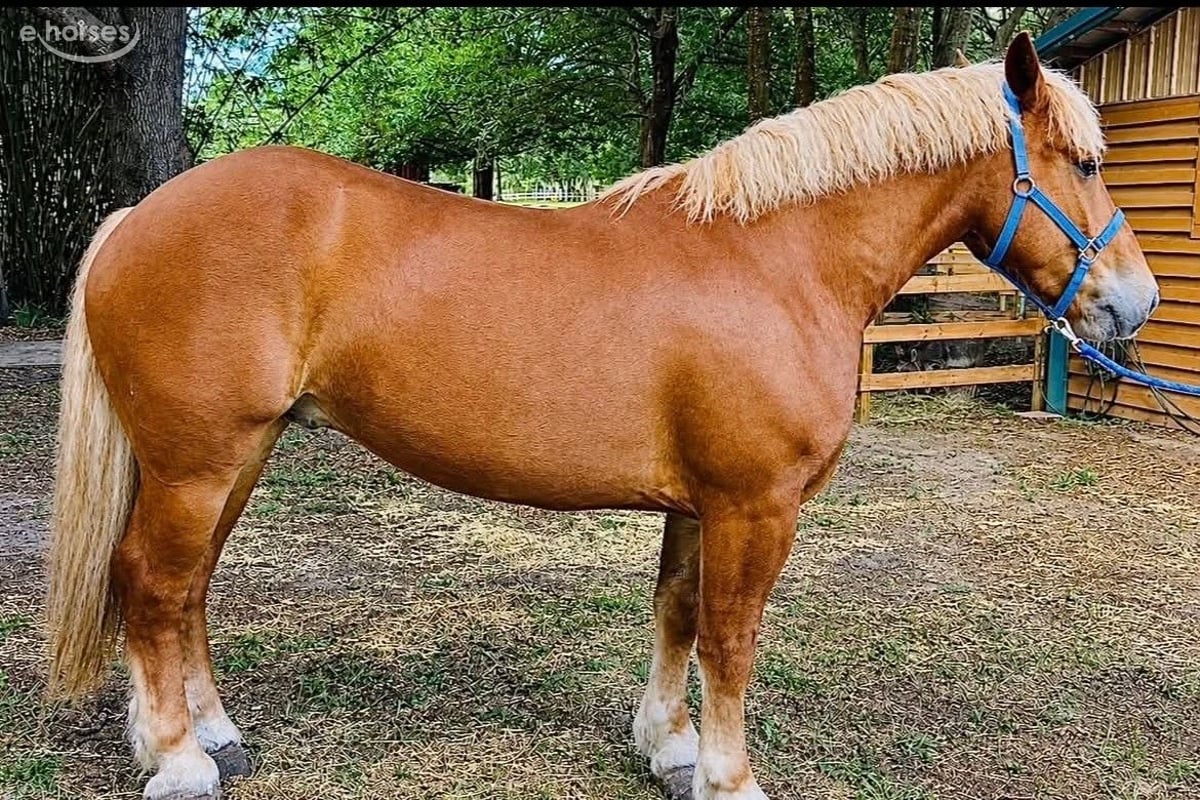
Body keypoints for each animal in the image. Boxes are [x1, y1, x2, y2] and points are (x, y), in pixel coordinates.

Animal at [46, 34, 1158, 800]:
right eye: (1086, 162)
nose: (1135, 304)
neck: (776, 260)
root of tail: (139, 216)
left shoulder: (702, 503)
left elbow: (678, 614)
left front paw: (670, 748)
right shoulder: (756, 505)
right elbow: (732, 639)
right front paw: (731, 777)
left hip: (236, 455)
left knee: (186, 590)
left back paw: (211, 734)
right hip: (199, 460)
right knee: (151, 584)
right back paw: (179, 761)